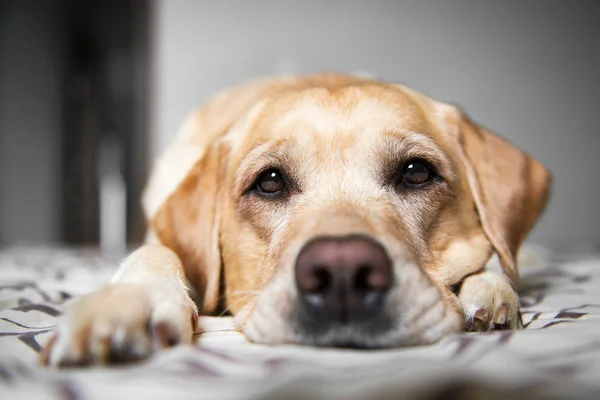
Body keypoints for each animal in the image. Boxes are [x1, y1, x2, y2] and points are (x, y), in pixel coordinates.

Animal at [42, 72, 552, 366]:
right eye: (269, 182)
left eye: (416, 172)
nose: (343, 272)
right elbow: (154, 250)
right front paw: (128, 302)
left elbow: (493, 257)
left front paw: (488, 288)